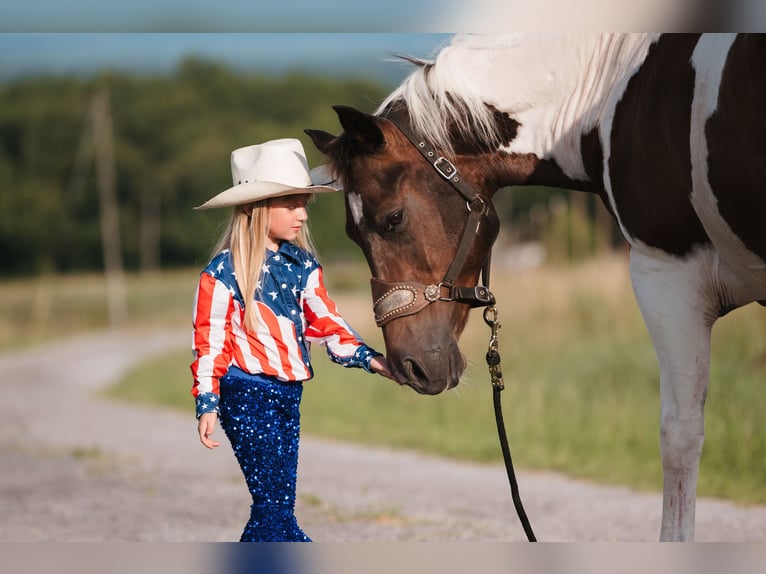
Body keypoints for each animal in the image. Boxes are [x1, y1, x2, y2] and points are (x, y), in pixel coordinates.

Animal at [306, 33, 766, 544]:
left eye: (393, 218)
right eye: (351, 234)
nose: (410, 367)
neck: (612, 88)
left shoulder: (668, 275)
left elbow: (679, 437)